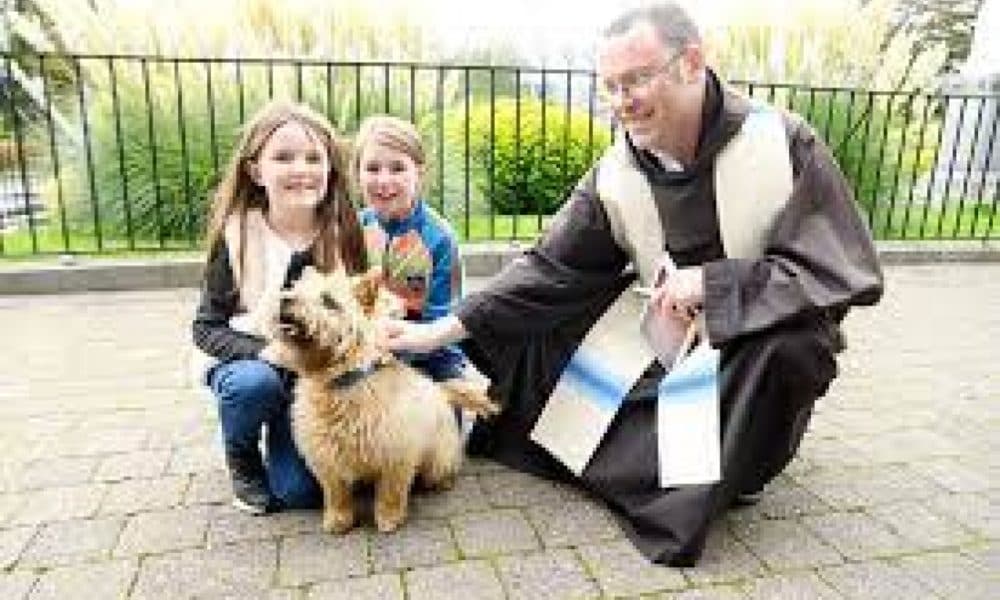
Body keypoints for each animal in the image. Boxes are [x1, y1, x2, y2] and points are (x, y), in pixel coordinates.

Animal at [262, 268, 496, 536]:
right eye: (294, 288)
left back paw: (442, 482)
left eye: (329, 301)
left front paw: (388, 519)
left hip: (438, 456)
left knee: (442, 468)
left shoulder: (396, 453)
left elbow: (390, 492)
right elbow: (336, 493)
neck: (341, 381)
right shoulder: (326, 457)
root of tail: (438, 389)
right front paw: (338, 519)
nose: (284, 299)